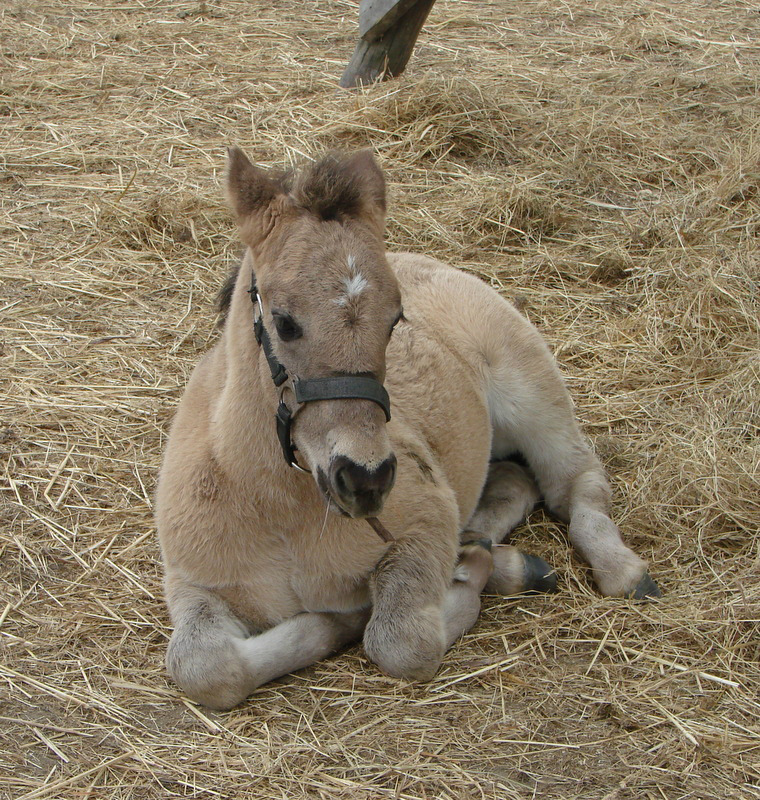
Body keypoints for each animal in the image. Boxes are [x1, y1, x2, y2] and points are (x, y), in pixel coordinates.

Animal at [156, 147, 660, 708]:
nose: (365, 479)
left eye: (396, 319)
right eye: (284, 321)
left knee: (574, 483)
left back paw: (619, 570)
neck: (277, 510)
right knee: (515, 480)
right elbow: (202, 667)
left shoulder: (424, 520)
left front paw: (366, 614)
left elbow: (402, 642)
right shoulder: (191, 580)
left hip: (532, 389)